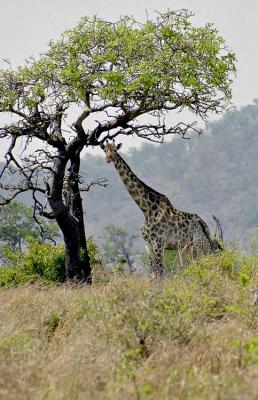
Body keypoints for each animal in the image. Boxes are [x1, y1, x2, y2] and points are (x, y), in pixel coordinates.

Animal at [103, 140, 222, 276]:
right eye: (105, 150)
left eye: (115, 150)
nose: (108, 159)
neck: (146, 209)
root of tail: (204, 225)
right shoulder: (148, 244)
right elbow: (153, 273)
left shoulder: (159, 242)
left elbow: (161, 272)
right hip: (191, 247)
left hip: (198, 244)